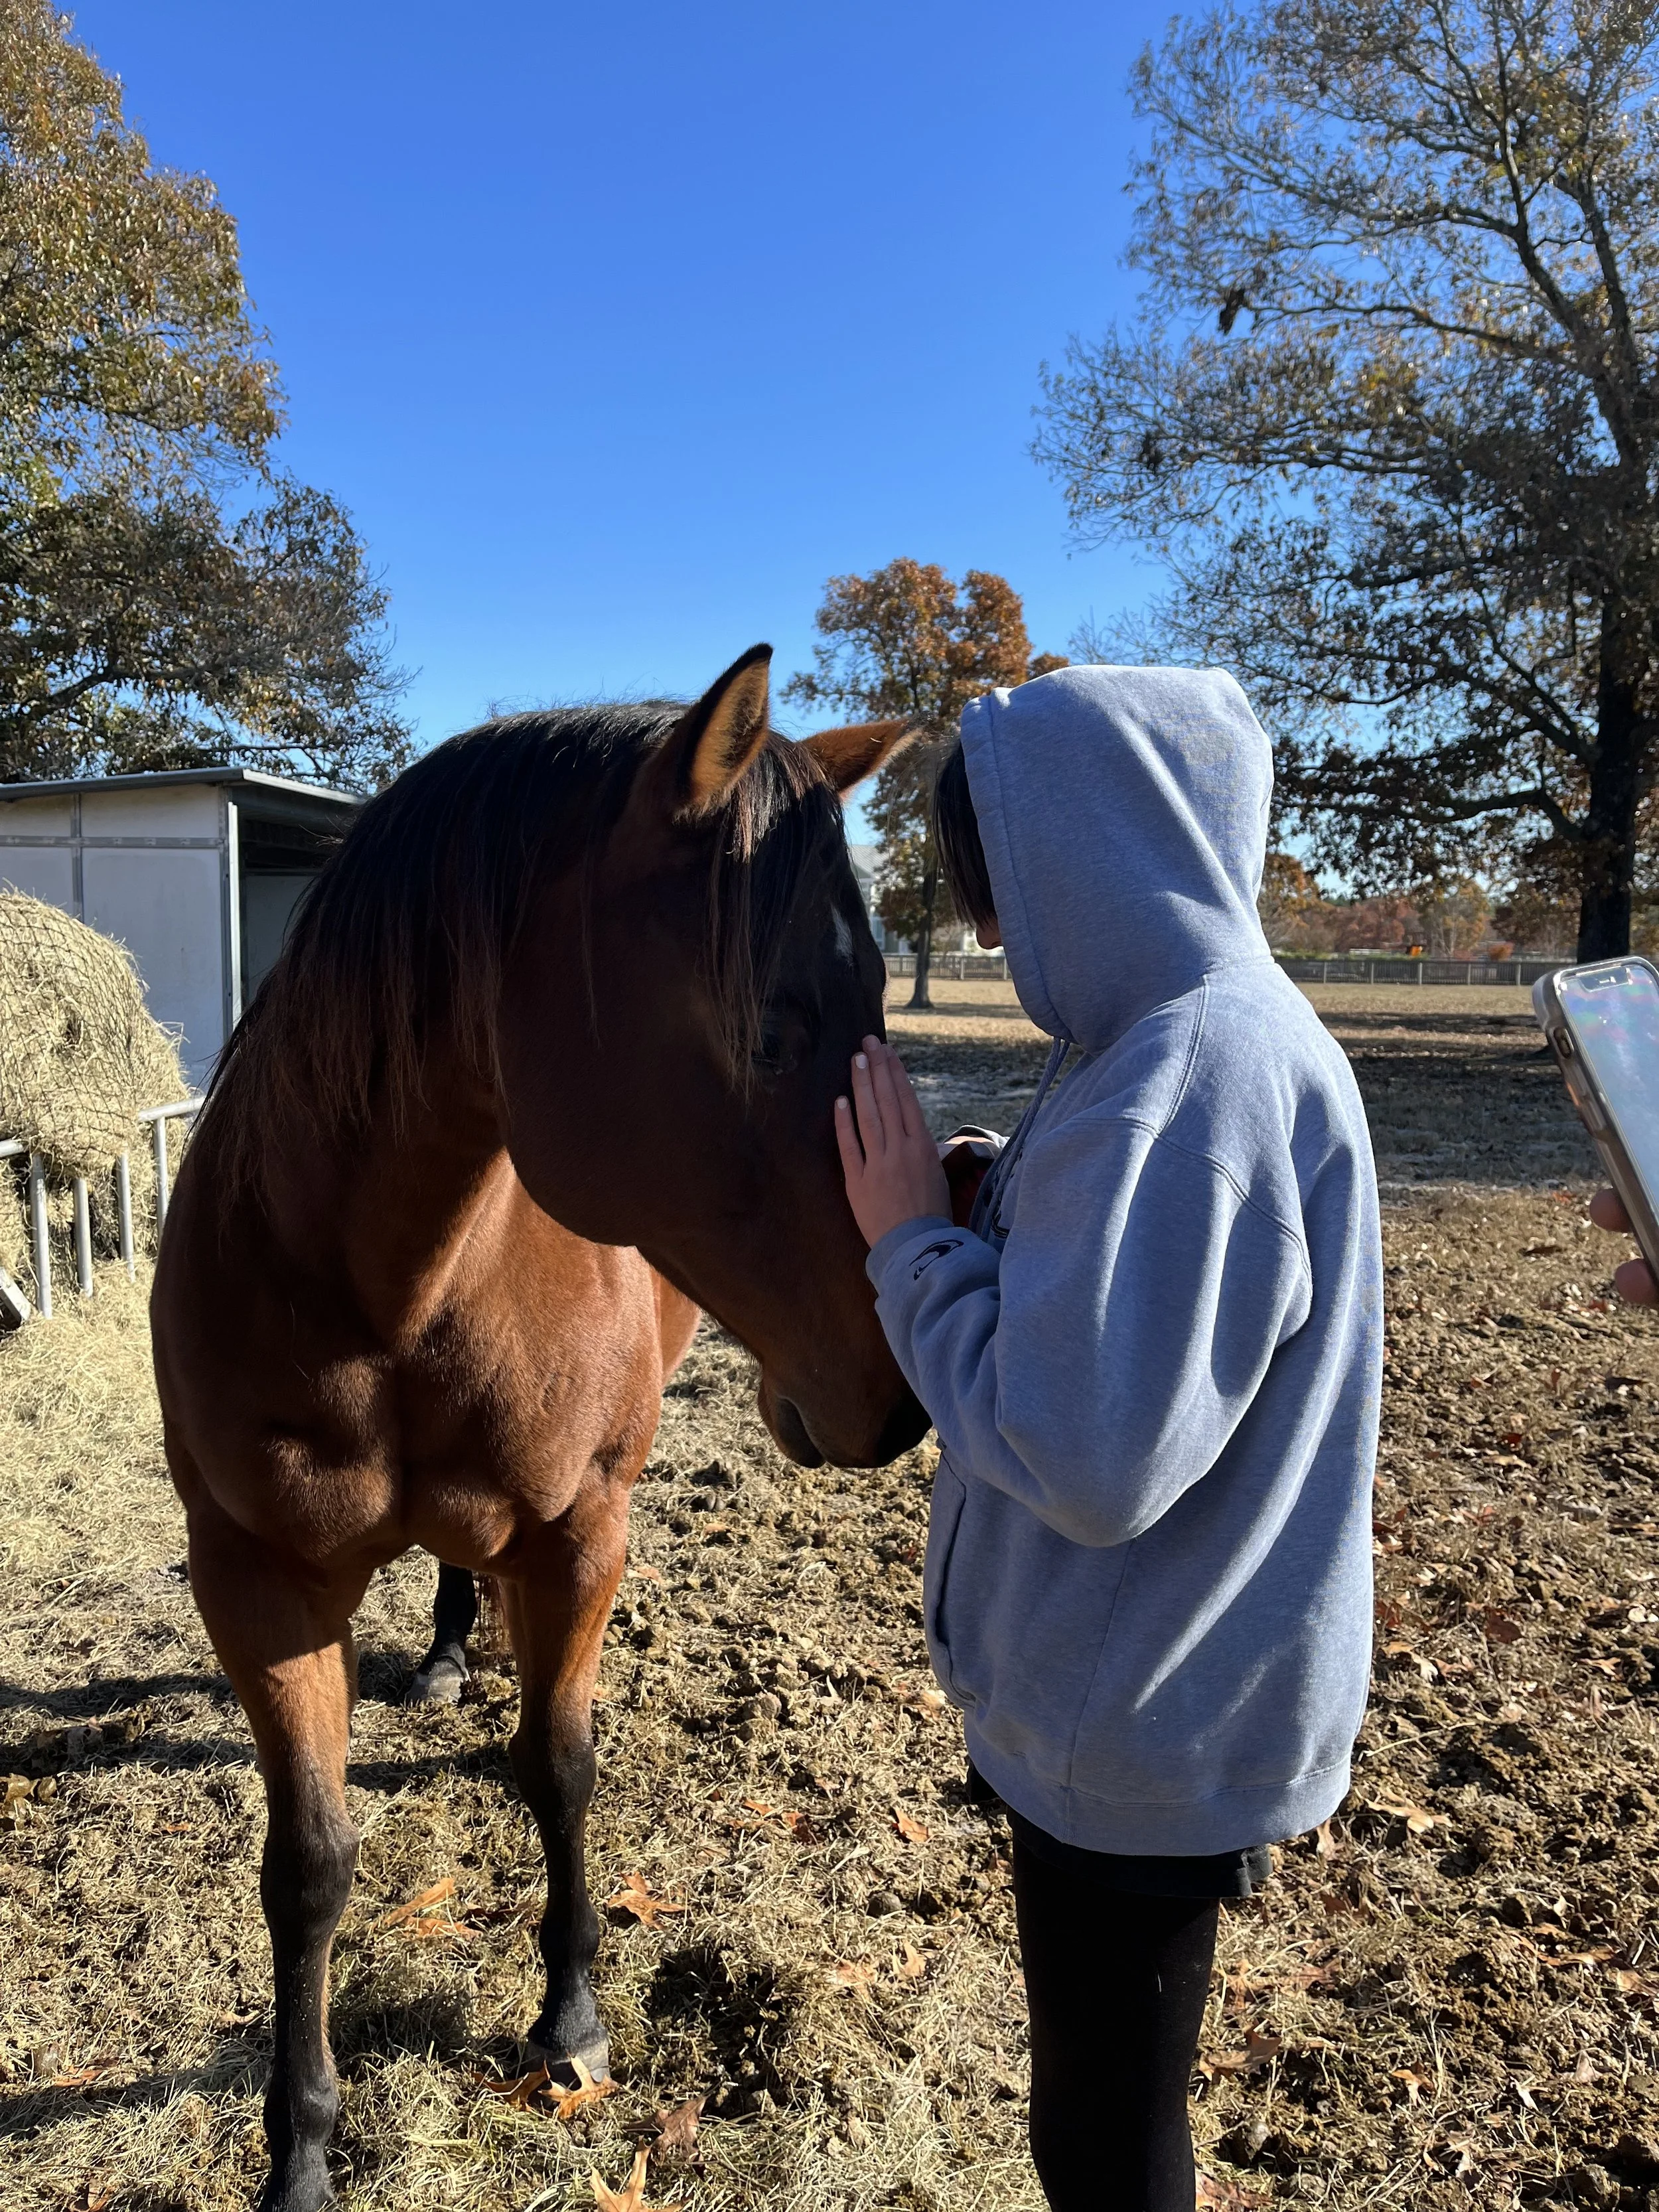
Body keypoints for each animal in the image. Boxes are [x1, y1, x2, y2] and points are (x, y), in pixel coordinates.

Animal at [149, 646, 926, 2212]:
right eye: (773, 1021)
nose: (897, 1388)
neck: (384, 1287)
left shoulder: (577, 1535)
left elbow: (559, 1767)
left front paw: (569, 2019)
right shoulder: (254, 1580)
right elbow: (308, 1863)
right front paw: (300, 2150)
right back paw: (450, 1652)